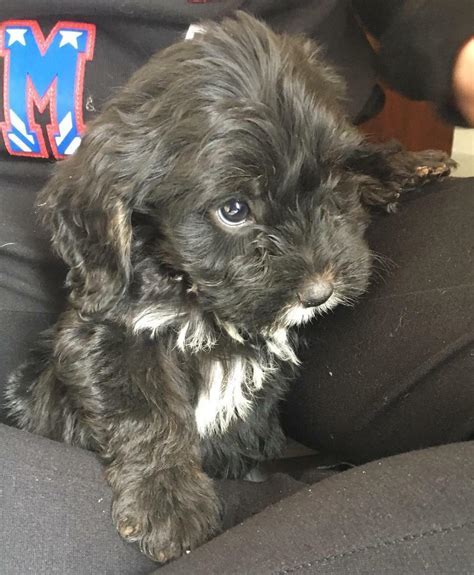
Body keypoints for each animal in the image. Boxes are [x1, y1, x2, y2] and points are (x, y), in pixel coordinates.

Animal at [6, 12, 452, 564]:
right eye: (233, 210)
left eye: (331, 180)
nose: (319, 291)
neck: (198, 299)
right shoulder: (107, 333)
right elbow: (142, 410)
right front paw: (166, 501)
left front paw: (395, 164)